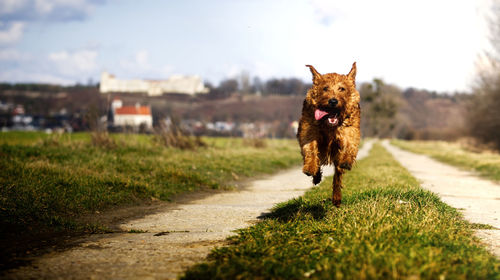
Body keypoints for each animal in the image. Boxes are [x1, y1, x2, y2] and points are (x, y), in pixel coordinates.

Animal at [296, 63, 360, 206]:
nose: (333, 101)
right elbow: (311, 150)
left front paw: (346, 160)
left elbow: (349, 147)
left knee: (337, 176)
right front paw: (310, 168)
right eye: (325, 88)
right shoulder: (310, 132)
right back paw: (316, 176)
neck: (329, 126)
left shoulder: (349, 132)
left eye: (342, 88)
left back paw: (336, 197)